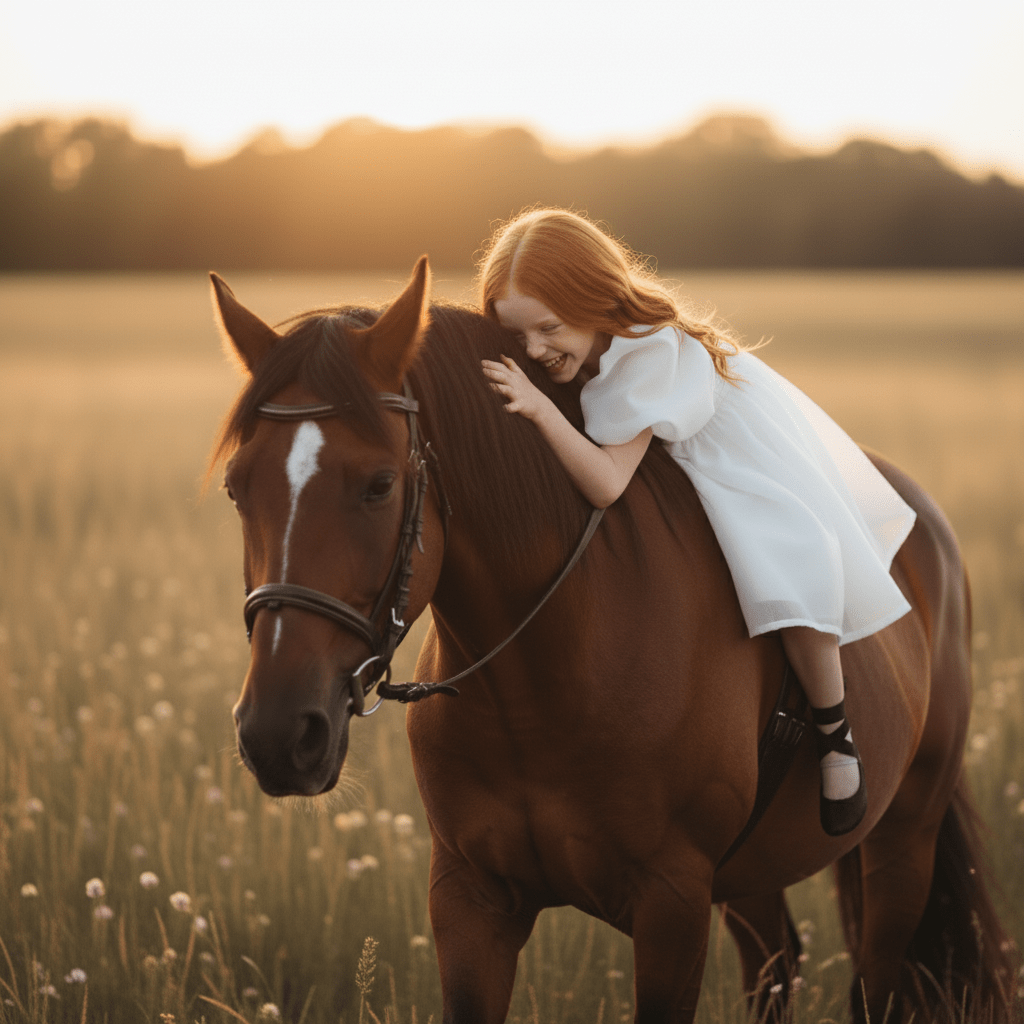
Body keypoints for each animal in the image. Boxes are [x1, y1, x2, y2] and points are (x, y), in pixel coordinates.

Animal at [207, 258, 1016, 1024]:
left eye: (378, 485)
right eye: (237, 489)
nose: (279, 735)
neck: (545, 679)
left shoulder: (672, 905)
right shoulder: (469, 898)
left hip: (903, 839)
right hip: (753, 878)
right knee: (775, 967)